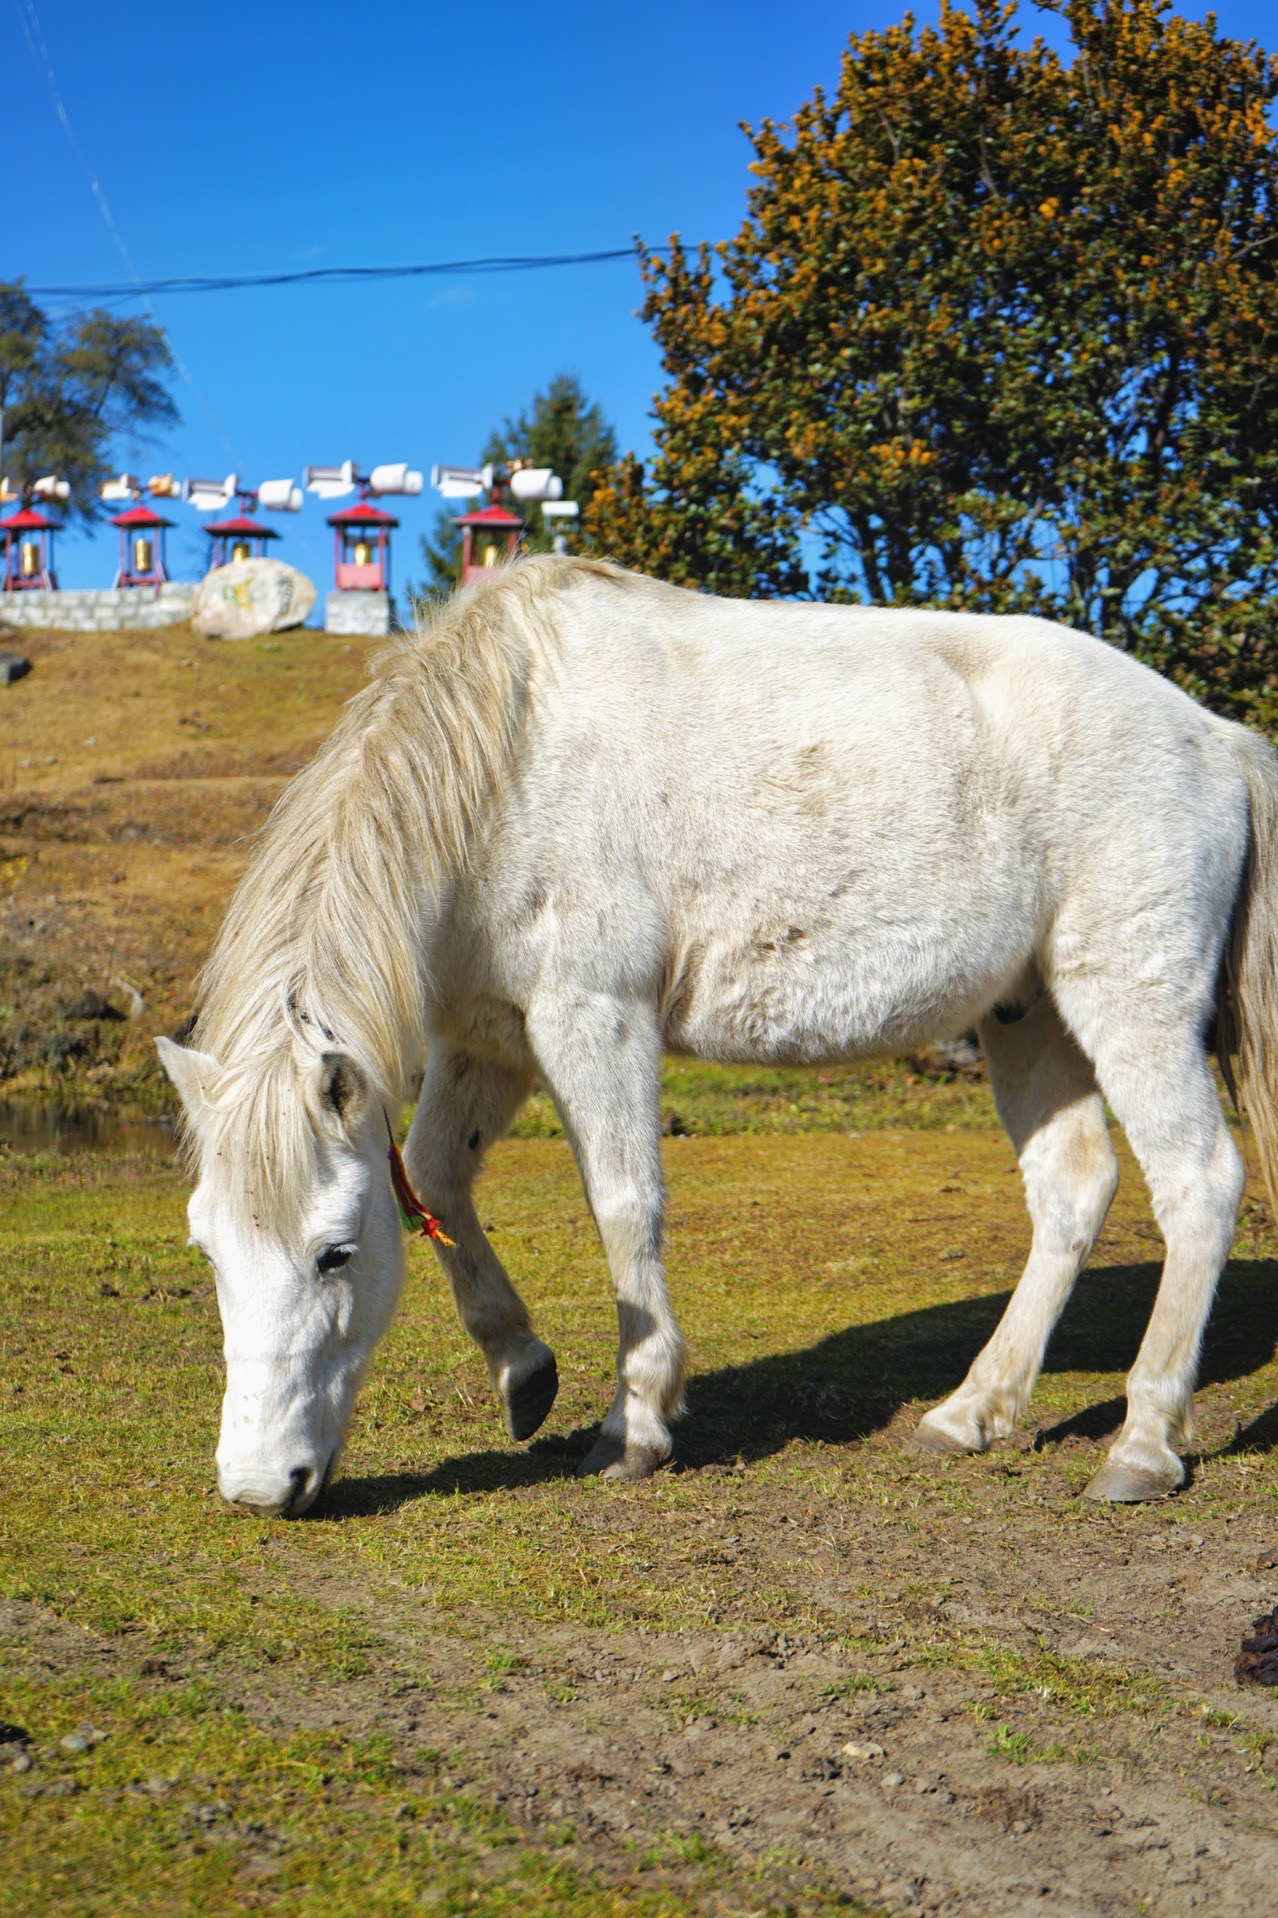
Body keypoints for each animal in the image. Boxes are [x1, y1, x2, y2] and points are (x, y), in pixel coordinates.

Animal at [156, 556, 1274, 1511]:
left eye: (334, 1254)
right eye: (208, 1247)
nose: (260, 1487)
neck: (507, 755)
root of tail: (1212, 736)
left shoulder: (593, 1017)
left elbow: (622, 1206)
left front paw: (636, 1425)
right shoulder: (488, 1042)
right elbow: (434, 1180)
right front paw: (525, 1370)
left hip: (1127, 1004)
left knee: (1199, 1184)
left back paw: (1143, 1444)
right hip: (1028, 1016)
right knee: (1073, 1188)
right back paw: (971, 1413)